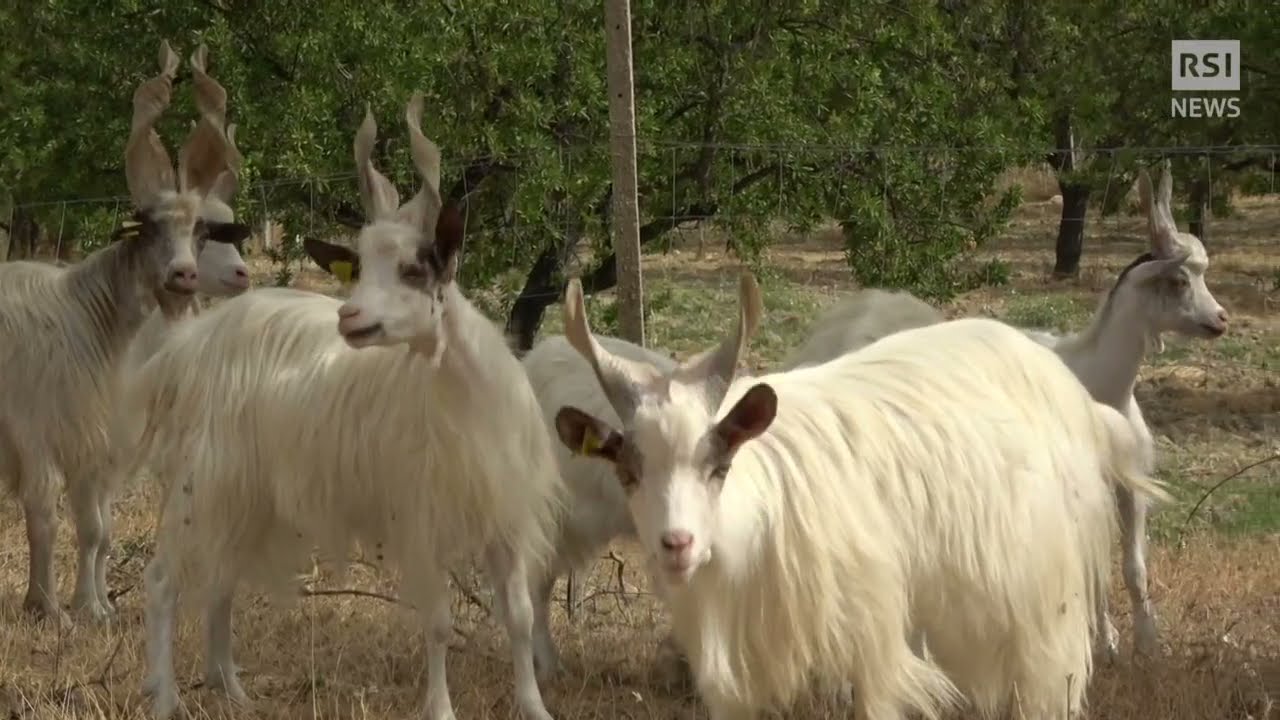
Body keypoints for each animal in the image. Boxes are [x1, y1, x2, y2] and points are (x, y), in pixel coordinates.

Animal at [0, 40, 242, 624]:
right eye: (149, 226)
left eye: (200, 230)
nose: (184, 276)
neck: (87, 320)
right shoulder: (34, 432)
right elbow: (44, 517)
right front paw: (48, 608)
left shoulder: (100, 446)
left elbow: (97, 531)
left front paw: (95, 607)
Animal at [131, 93, 563, 720]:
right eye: (356, 266)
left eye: (415, 268)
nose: (349, 317)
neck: (461, 402)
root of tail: (192, 344)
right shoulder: (420, 520)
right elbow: (438, 623)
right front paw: (440, 709)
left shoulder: (503, 516)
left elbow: (521, 616)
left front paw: (534, 706)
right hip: (199, 484)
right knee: (163, 580)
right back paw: (165, 696)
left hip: (245, 497)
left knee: (221, 578)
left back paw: (230, 687)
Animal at [552, 273, 1170, 720]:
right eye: (628, 470)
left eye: (718, 464)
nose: (675, 543)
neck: (761, 509)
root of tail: (1075, 395)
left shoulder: (872, 639)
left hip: (1045, 599)